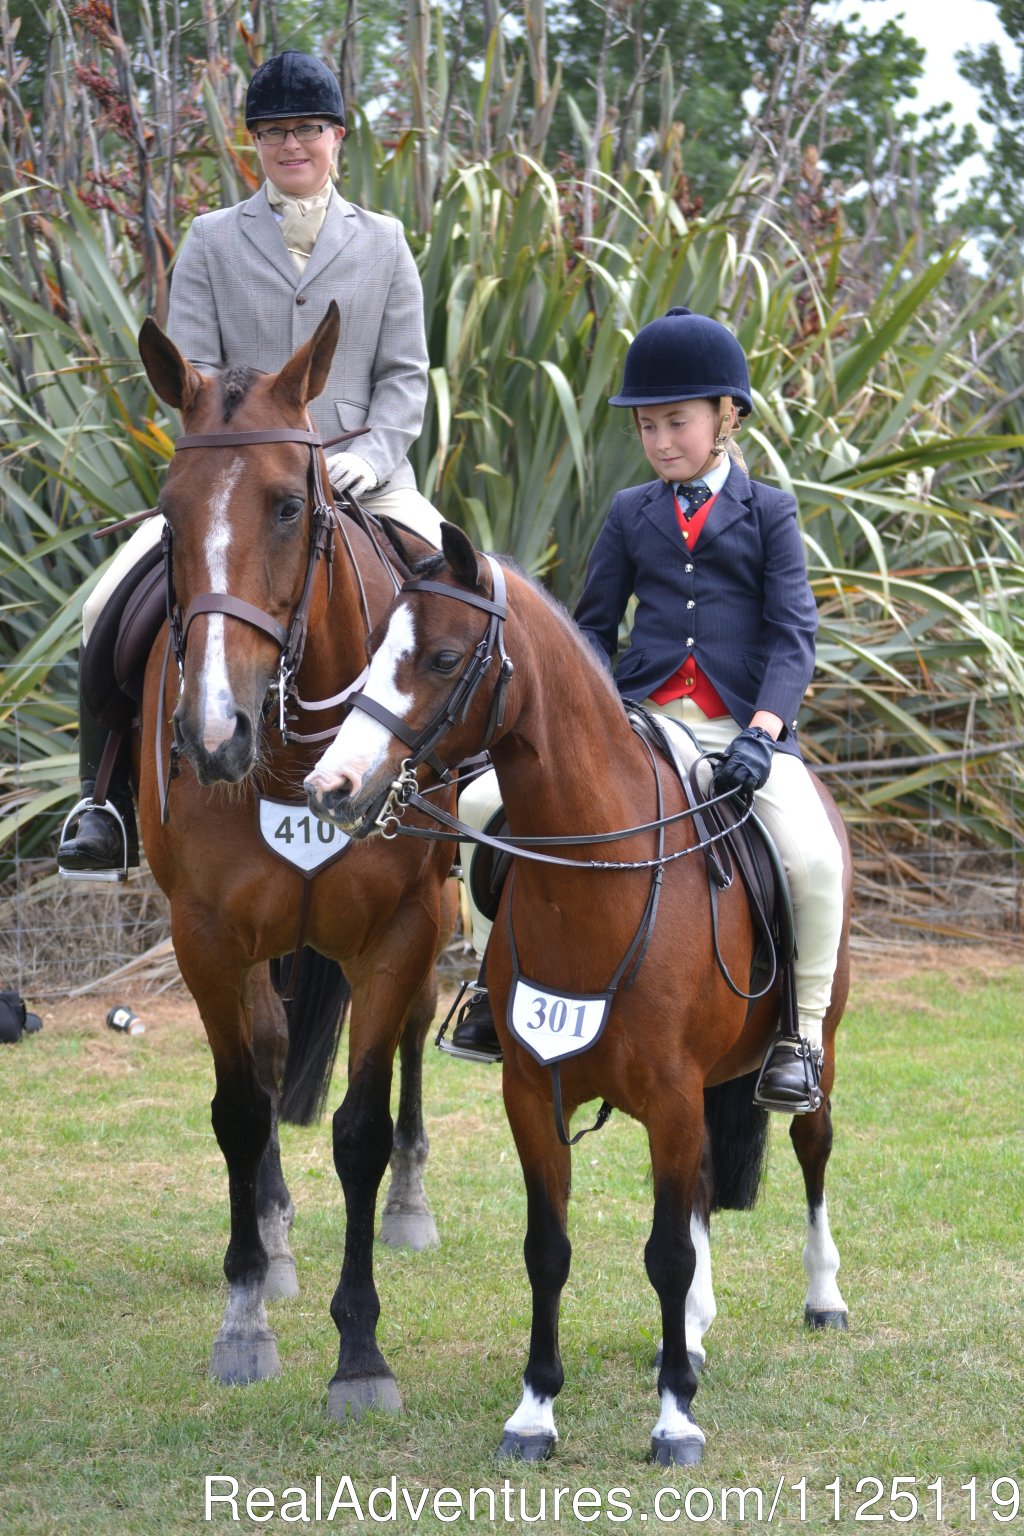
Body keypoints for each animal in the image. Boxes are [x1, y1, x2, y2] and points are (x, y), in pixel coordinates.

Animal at [132, 305, 457, 1419]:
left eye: (287, 504)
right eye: (170, 515)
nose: (212, 734)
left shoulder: (401, 927)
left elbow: (359, 1127)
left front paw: (360, 1353)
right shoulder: (207, 936)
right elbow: (240, 1110)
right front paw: (245, 1321)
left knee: (404, 1047)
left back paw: (409, 1202)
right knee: (270, 1058)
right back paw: (269, 1242)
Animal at [303, 525, 847, 1462]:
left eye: (443, 658)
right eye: (372, 651)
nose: (331, 789)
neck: (597, 871)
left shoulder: (671, 1096)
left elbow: (665, 1253)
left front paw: (674, 1421)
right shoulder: (534, 1091)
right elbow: (548, 1249)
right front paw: (535, 1411)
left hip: (815, 1049)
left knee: (812, 1147)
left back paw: (822, 1299)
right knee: (703, 1188)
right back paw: (690, 1332)